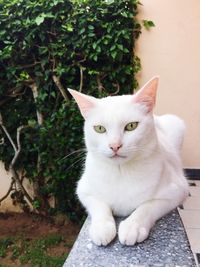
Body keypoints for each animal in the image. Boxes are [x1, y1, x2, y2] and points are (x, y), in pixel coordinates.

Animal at [68, 77, 188, 247]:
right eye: (99, 129)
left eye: (131, 126)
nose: (114, 146)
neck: (121, 172)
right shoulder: (84, 190)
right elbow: (99, 205)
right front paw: (101, 227)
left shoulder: (177, 191)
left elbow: (146, 207)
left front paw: (133, 226)